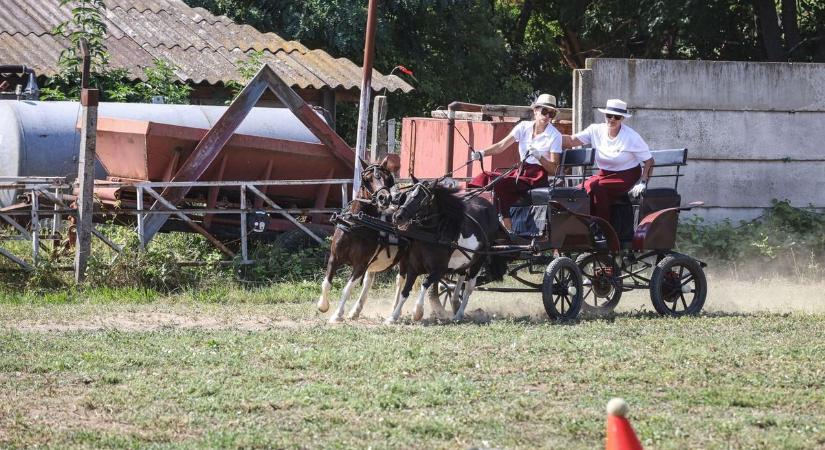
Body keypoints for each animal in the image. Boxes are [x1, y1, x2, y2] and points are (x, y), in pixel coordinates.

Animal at [318, 159, 404, 324]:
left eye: (387, 178)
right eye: (368, 179)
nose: (385, 198)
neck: (355, 224)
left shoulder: (361, 264)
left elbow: (347, 288)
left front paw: (337, 315)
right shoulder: (334, 257)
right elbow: (326, 283)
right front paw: (323, 306)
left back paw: (399, 313)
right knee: (371, 281)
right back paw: (356, 311)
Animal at [384, 179, 506, 324]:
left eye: (422, 199)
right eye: (406, 196)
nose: (397, 216)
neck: (431, 235)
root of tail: (490, 206)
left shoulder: (439, 270)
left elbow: (425, 284)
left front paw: (417, 312)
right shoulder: (413, 268)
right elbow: (405, 291)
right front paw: (393, 316)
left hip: (479, 260)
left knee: (469, 287)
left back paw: (459, 314)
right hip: (465, 260)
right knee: (461, 277)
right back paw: (455, 302)